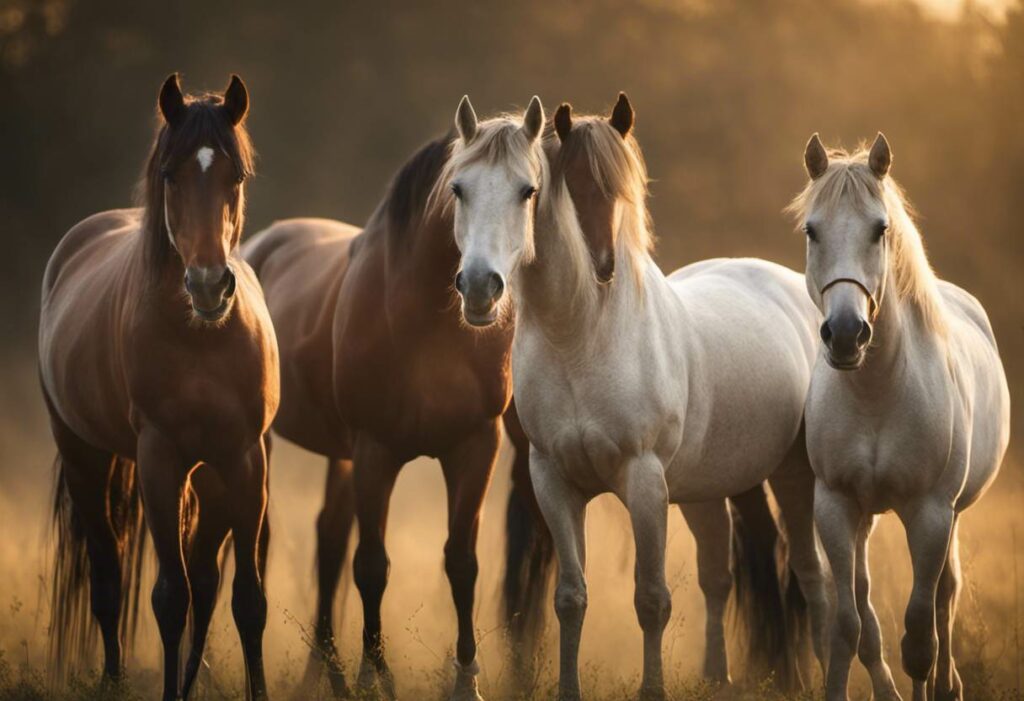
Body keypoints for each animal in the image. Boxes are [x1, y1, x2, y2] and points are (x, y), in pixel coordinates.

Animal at [39, 73, 278, 695]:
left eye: (235, 176)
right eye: (171, 174)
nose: (210, 285)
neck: (202, 338)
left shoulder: (245, 462)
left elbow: (247, 601)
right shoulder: (159, 460)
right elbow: (170, 598)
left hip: (211, 479)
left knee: (207, 580)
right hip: (85, 457)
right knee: (107, 576)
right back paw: (113, 680)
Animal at [440, 94, 831, 699]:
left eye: (527, 191)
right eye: (460, 189)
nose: (480, 287)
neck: (584, 337)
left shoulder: (644, 481)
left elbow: (651, 600)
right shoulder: (553, 480)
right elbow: (571, 599)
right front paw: (568, 688)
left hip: (792, 477)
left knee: (810, 575)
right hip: (704, 490)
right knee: (718, 573)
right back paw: (718, 679)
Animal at [790, 133, 1007, 699]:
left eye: (880, 229)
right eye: (812, 230)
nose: (846, 335)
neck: (877, 394)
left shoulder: (930, 514)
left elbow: (919, 639)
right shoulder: (837, 507)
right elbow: (848, 627)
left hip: (952, 514)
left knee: (945, 599)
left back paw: (949, 685)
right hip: (868, 518)